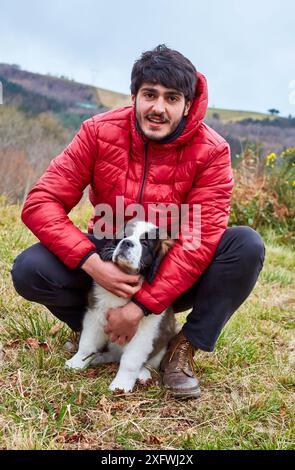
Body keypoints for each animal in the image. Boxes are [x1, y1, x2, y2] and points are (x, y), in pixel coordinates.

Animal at [65, 220, 180, 392]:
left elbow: (130, 361)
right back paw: (100, 357)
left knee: (145, 362)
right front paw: (77, 362)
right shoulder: (96, 314)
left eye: (145, 243)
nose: (126, 243)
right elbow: (87, 343)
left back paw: (143, 374)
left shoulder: (144, 331)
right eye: (124, 235)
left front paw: (121, 385)